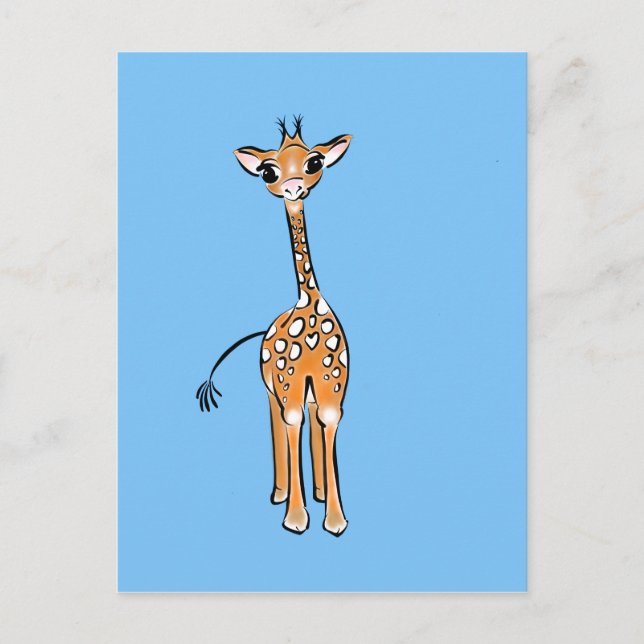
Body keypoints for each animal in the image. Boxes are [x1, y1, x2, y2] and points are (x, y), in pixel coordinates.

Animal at [196, 116, 352, 537]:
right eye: (269, 171)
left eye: (315, 162)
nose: (294, 188)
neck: (308, 305)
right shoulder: (287, 385)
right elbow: (291, 425)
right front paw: (296, 519)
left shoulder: (332, 388)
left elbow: (327, 425)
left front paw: (334, 519)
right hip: (272, 388)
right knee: (279, 424)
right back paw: (281, 494)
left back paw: (318, 492)